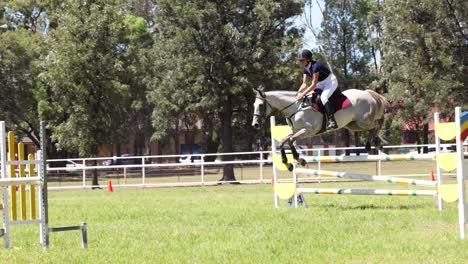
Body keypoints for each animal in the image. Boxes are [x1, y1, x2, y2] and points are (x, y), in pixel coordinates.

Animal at [252, 89, 388, 171]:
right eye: (254, 105)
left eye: (260, 105)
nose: (255, 124)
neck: (295, 107)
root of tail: (367, 93)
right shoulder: (296, 131)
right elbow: (283, 141)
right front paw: (287, 163)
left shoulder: (307, 131)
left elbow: (290, 141)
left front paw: (299, 159)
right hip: (353, 124)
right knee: (374, 126)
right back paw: (376, 142)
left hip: (363, 121)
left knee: (378, 123)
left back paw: (372, 144)